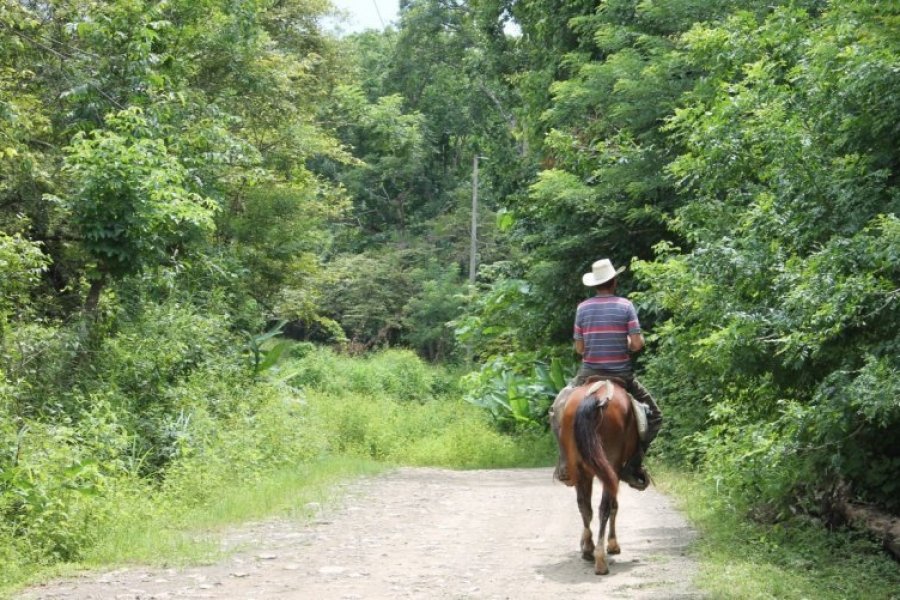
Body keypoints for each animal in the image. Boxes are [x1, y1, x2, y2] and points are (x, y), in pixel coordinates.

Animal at [560, 380, 644, 576]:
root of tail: (597, 396)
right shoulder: (616, 471)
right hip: (610, 467)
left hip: (581, 469)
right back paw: (600, 560)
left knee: (585, 506)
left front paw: (586, 546)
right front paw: (613, 544)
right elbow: (613, 506)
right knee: (604, 507)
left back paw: (589, 550)